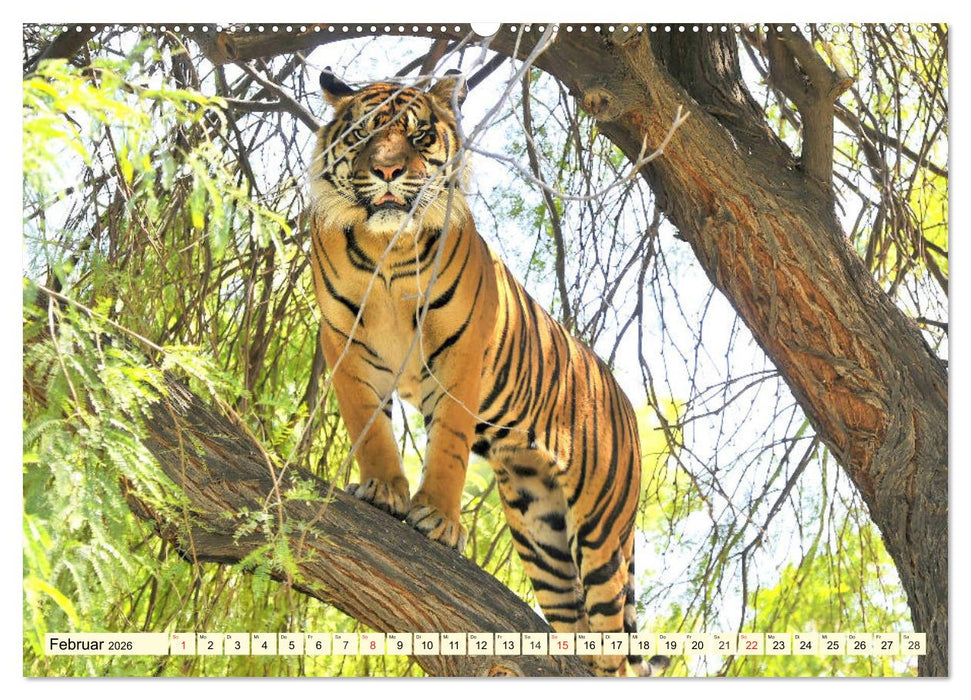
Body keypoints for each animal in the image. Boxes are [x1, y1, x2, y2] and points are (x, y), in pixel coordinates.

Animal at [306, 67, 667, 677]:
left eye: (419, 135)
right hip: (540, 529)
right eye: (363, 135)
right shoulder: (344, 344)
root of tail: (618, 389)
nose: (387, 171)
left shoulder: (461, 351)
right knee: (573, 617)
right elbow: (368, 425)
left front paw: (438, 519)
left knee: (613, 638)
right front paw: (382, 489)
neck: (386, 248)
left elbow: (449, 445)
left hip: (602, 531)